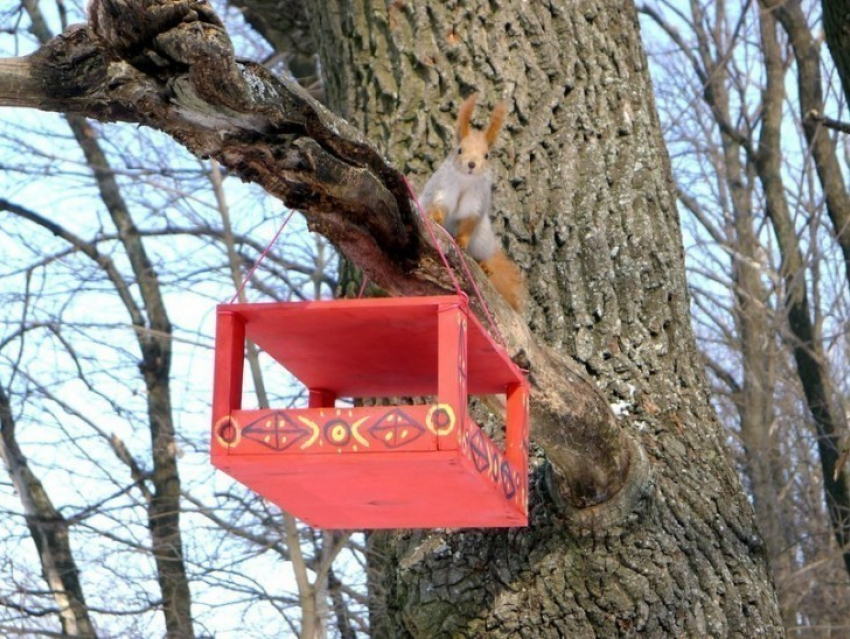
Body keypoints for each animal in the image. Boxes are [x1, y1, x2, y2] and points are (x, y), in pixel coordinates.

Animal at [418, 95, 524, 312]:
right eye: (459, 150)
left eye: (486, 155)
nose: (471, 164)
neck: (465, 181)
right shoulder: (441, 190)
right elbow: (439, 207)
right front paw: (436, 218)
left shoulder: (476, 204)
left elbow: (468, 224)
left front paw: (461, 241)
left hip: (482, 238)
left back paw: (484, 265)